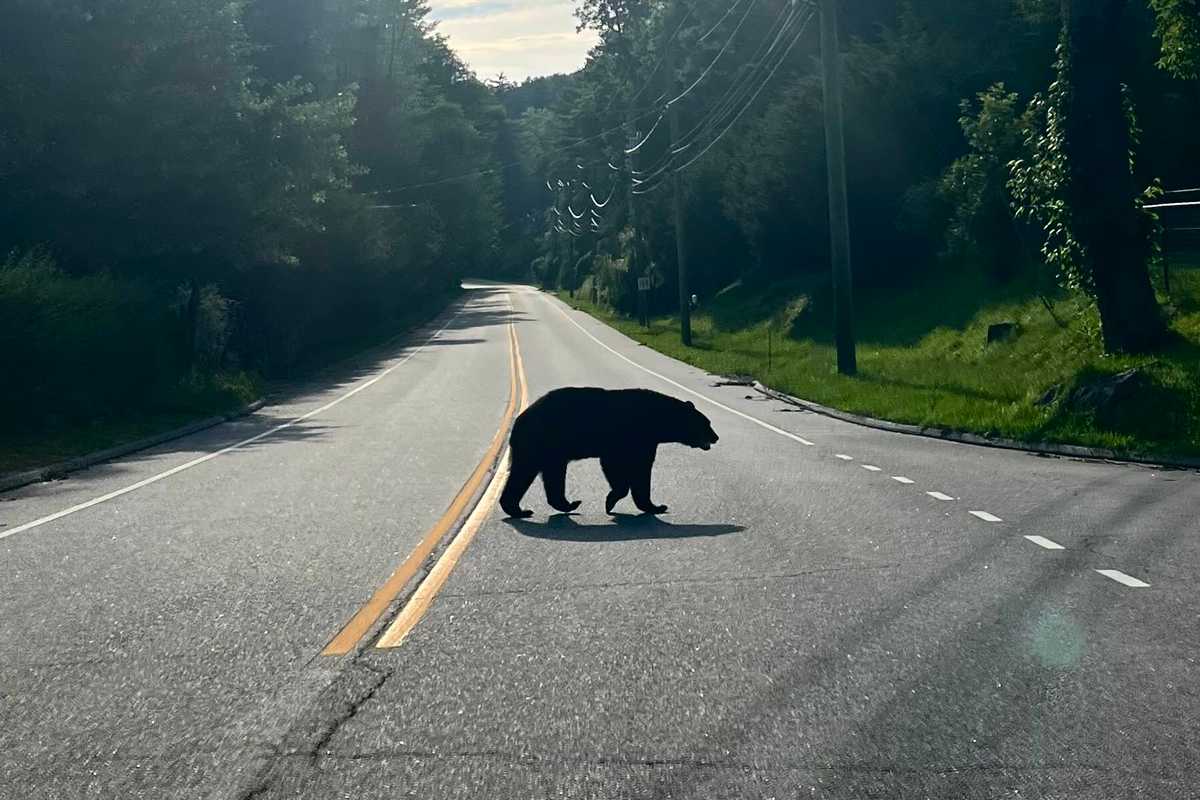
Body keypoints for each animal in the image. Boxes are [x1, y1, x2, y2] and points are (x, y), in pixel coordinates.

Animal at [499, 387, 719, 519]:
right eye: (706, 424)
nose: (716, 437)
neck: (657, 419)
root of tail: (518, 421)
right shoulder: (627, 438)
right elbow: (621, 467)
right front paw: (614, 501)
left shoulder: (646, 442)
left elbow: (641, 469)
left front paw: (652, 506)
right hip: (540, 444)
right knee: (528, 473)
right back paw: (526, 509)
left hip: (547, 451)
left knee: (543, 476)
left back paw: (556, 505)